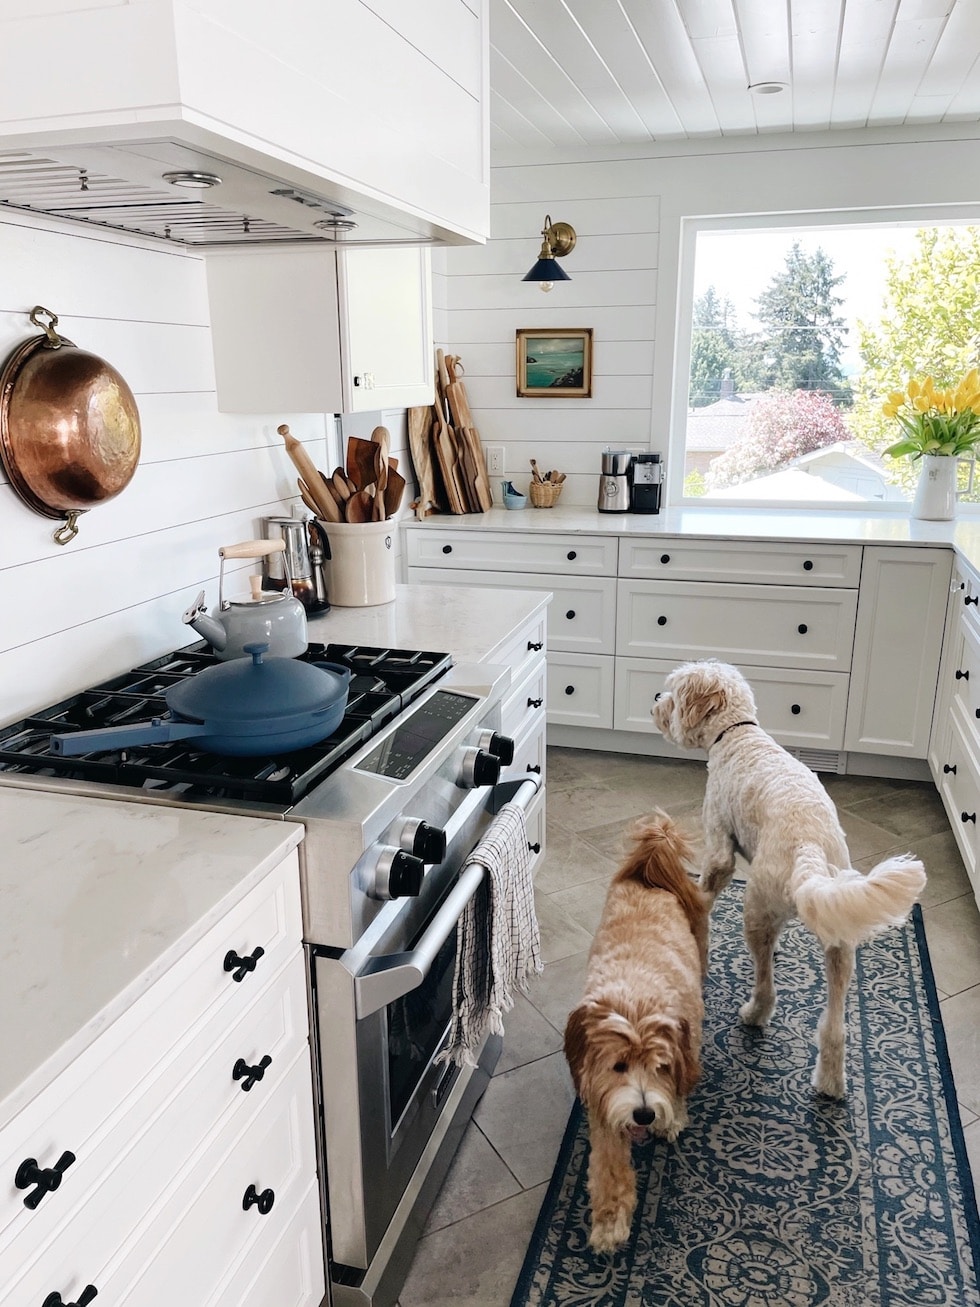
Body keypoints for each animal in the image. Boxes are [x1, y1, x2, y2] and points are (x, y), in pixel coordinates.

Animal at [564, 810, 710, 1249]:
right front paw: (610, 1220)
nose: (645, 1113)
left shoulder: (687, 1042)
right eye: (618, 1067)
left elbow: (681, 1084)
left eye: (660, 1067)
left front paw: (671, 1118)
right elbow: (609, 1165)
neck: (635, 999)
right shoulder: (602, 1099)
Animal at [653, 658, 930, 1097]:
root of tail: (809, 846)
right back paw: (830, 1083)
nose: (655, 703)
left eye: (675, 694)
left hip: (754, 908)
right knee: (834, 1027)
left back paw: (754, 1014)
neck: (736, 733)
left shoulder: (719, 849)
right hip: (840, 941)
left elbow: (702, 895)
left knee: (766, 986)